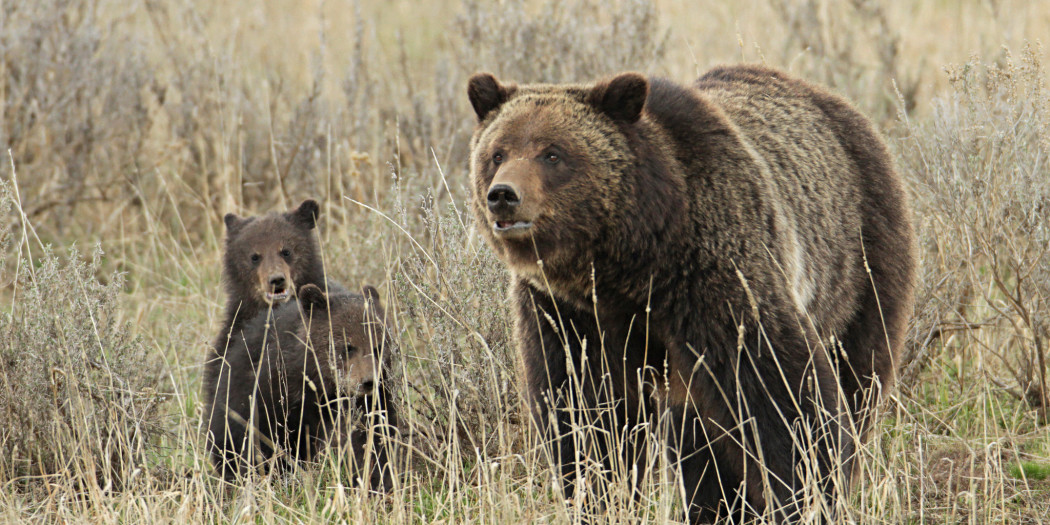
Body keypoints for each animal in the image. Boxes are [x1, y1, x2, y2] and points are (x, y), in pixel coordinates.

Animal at [203, 283, 396, 487]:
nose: (368, 382)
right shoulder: (275, 394)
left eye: (378, 346)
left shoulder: (373, 403)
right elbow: (262, 440)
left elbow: (373, 439)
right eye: (347, 346)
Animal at [468, 64, 919, 520]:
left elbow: (781, 393)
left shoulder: (714, 278)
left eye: (553, 153)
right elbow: (586, 413)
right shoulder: (566, 313)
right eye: (498, 153)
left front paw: (807, 496)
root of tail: (830, 100)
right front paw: (598, 496)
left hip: (859, 263)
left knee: (859, 374)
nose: (503, 195)